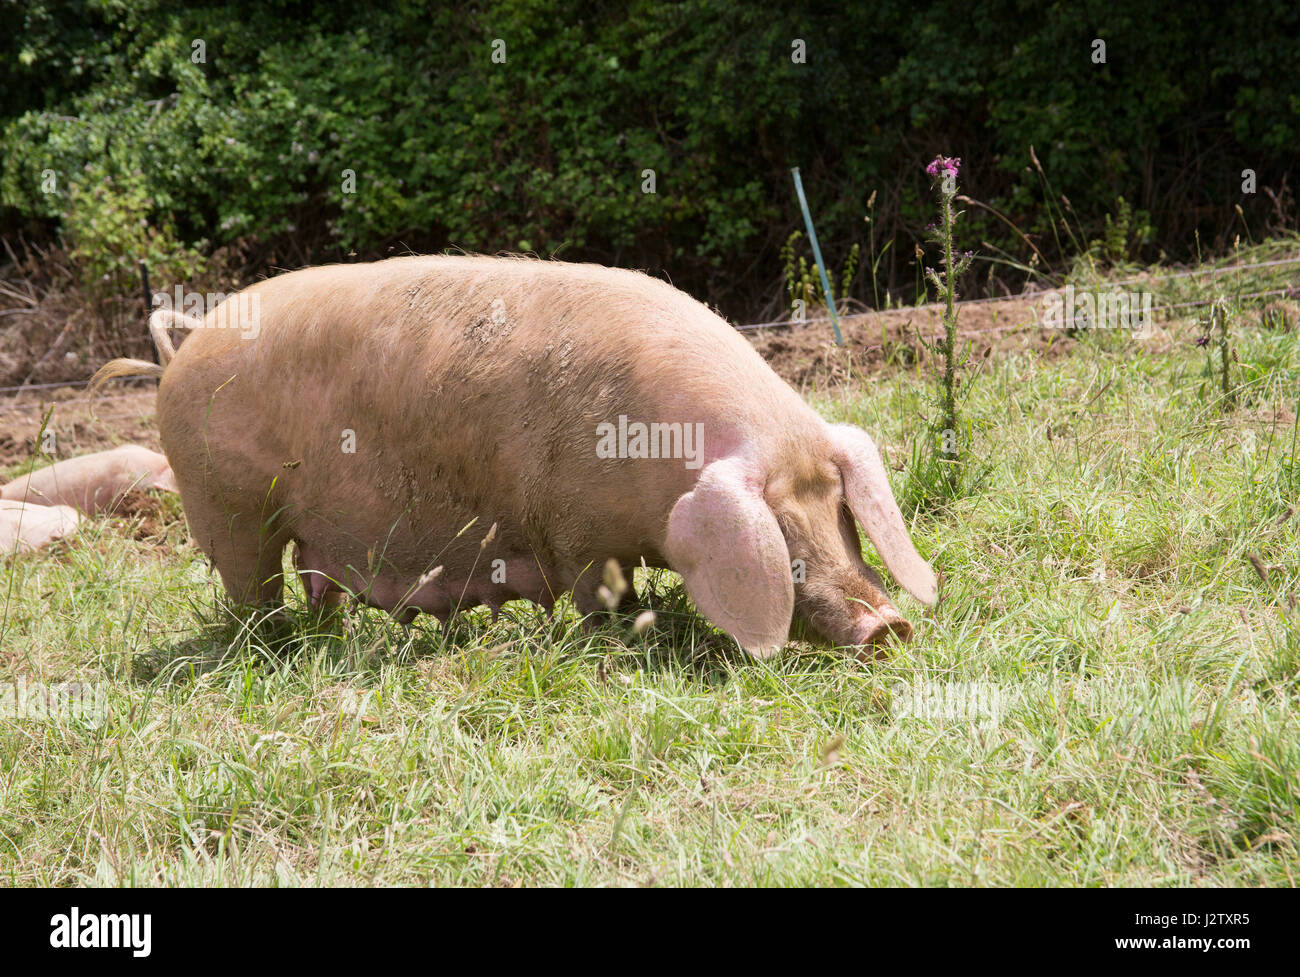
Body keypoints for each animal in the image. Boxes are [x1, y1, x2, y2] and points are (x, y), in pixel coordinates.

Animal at [96, 257, 941, 657]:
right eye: (785, 545)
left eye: (844, 519)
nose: (890, 626)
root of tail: (179, 354)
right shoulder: (573, 534)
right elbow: (596, 596)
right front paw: (616, 635)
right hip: (229, 509)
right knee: (251, 593)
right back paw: (276, 648)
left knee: (316, 584)